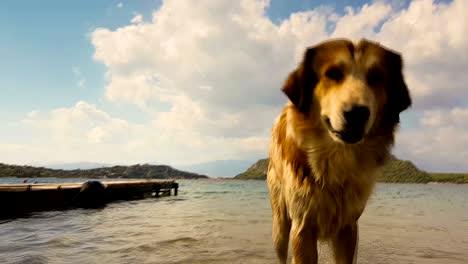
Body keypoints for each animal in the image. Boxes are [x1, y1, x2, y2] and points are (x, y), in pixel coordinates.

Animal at [268, 37, 412, 264]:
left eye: (376, 76)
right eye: (333, 73)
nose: (357, 114)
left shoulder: (348, 227)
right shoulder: (302, 227)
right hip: (280, 224)